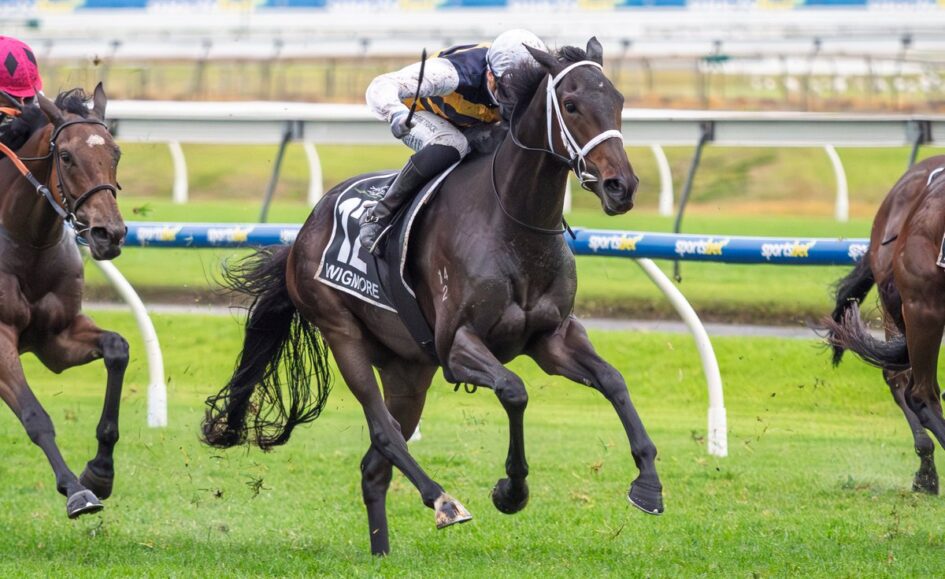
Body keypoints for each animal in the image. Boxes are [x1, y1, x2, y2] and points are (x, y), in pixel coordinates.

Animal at [0, 85, 128, 518]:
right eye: (67, 156)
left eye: (116, 153)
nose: (110, 233)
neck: (27, 241)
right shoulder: (0, 338)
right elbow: (35, 416)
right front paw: (76, 490)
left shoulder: (56, 338)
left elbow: (117, 349)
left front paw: (100, 473)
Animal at [203, 39, 663, 555]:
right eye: (570, 104)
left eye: (619, 101)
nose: (621, 186)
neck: (513, 224)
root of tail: (303, 232)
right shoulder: (457, 345)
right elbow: (514, 390)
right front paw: (511, 490)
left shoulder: (552, 338)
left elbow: (613, 381)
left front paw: (648, 484)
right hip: (342, 333)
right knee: (385, 435)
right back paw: (442, 500)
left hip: (408, 370)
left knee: (373, 467)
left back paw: (382, 551)